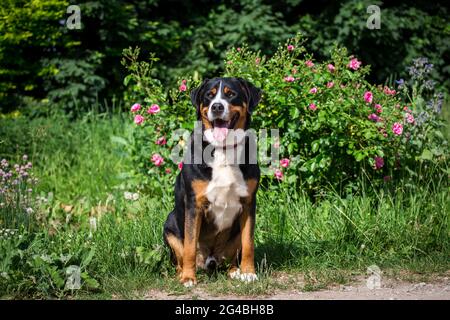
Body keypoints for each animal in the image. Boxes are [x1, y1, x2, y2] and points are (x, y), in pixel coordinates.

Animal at [163, 77, 262, 288]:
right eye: (209, 95)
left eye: (231, 94)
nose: (217, 106)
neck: (223, 150)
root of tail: (210, 261)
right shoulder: (194, 205)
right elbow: (190, 245)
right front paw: (188, 278)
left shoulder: (249, 202)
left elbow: (248, 243)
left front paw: (249, 273)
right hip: (169, 224)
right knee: (180, 256)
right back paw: (182, 273)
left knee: (232, 257)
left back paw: (235, 271)